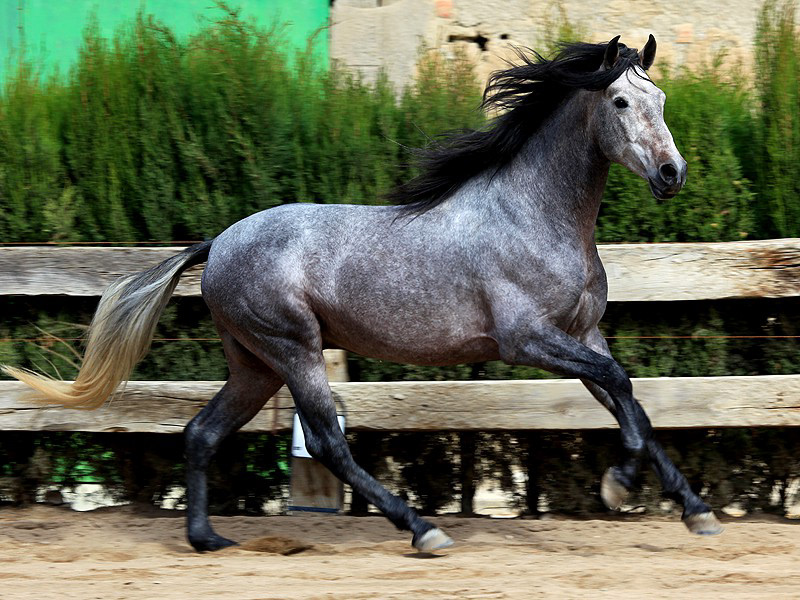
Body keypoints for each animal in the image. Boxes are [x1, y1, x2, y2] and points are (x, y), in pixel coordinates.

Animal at [3, 35, 723, 552]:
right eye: (621, 103)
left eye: (661, 98)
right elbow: (623, 389)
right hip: (293, 348)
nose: (672, 174)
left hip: (255, 364)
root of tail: (219, 242)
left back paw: (208, 539)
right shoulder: (530, 341)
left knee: (202, 432)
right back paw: (423, 530)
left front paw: (696, 512)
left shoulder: (581, 334)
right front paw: (619, 486)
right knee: (326, 442)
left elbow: (632, 404)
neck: (535, 215)